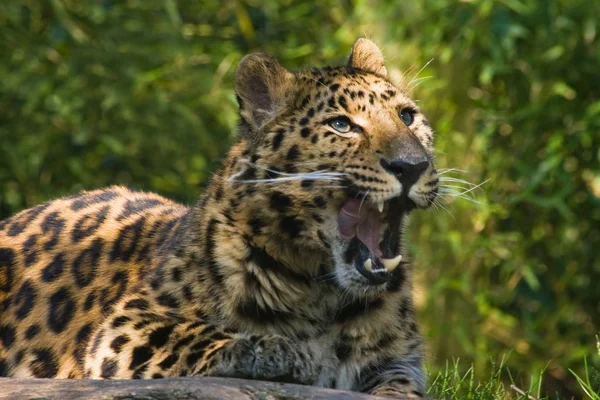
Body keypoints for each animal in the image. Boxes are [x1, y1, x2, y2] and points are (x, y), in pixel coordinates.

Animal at [1, 39, 440, 398]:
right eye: (341, 125)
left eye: (406, 117)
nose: (412, 166)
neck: (326, 296)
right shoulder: (125, 325)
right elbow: (195, 333)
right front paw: (278, 350)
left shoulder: (398, 362)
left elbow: (400, 387)